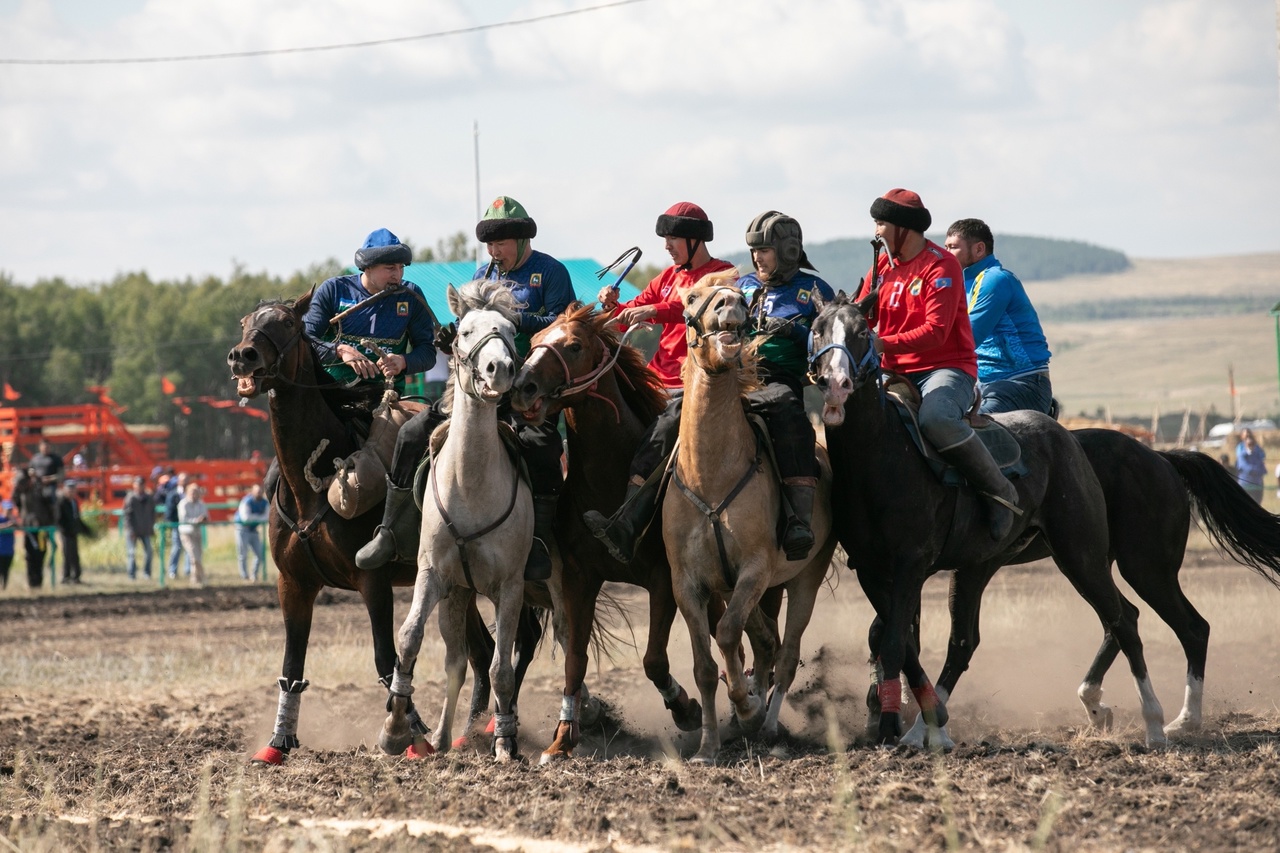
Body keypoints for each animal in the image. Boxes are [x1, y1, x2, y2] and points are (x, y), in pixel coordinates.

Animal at [509, 302, 711, 758]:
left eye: (574, 345)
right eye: (534, 341)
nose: (522, 388)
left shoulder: (663, 580)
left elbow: (654, 660)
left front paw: (686, 710)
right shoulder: (578, 580)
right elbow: (575, 659)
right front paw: (563, 737)